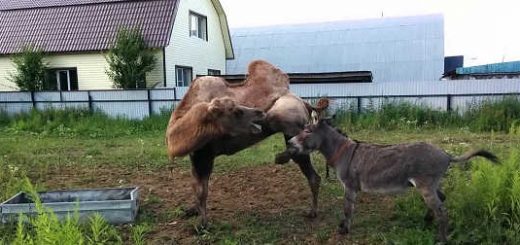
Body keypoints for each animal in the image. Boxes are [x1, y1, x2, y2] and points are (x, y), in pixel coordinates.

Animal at [167, 59, 330, 226]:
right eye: (237, 111)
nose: (259, 112)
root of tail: (305, 103)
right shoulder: (194, 155)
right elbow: (195, 184)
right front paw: (192, 211)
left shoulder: (205, 153)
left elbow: (202, 190)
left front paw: (203, 224)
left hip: (286, 121)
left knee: (307, 166)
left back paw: (311, 209)